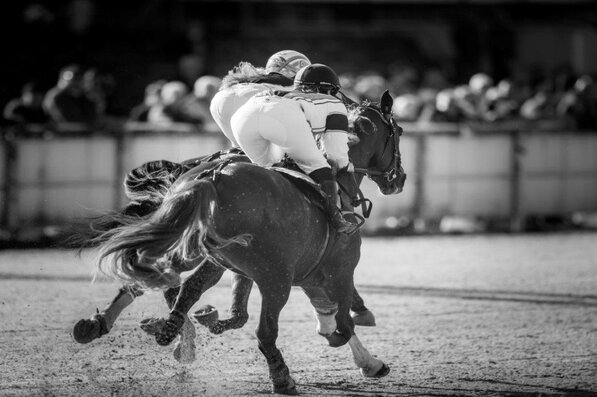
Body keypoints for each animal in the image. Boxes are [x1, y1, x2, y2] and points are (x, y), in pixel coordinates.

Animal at [85, 89, 406, 392]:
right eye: (399, 131)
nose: (400, 179)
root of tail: (210, 178)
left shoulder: (274, 272)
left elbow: (233, 308)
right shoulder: (339, 272)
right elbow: (342, 323)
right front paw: (367, 358)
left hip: (196, 248)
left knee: (158, 278)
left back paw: (141, 327)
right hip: (275, 279)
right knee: (265, 332)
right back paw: (281, 378)